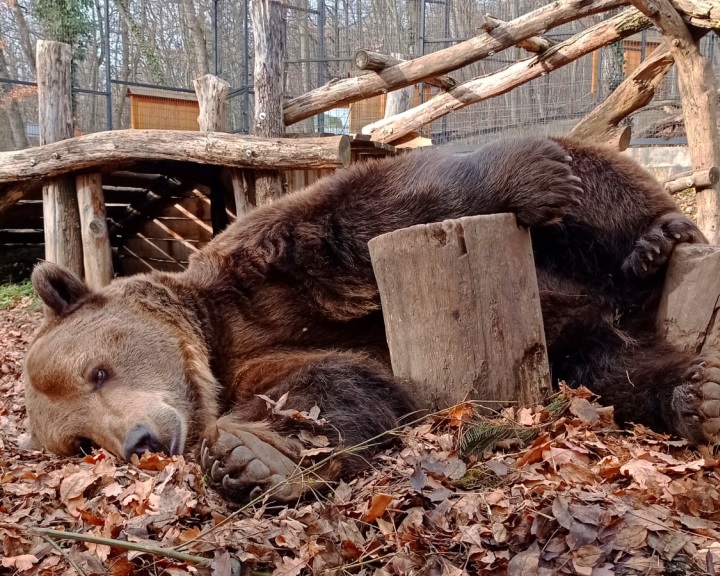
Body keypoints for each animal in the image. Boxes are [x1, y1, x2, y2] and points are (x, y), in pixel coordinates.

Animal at [22, 136, 720, 504]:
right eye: (82, 442)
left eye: (98, 371)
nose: (139, 441)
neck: (216, 336)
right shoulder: (257, 360)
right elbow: (333, 383)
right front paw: (250, 455)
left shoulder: (266, 268)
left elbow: (361, 211)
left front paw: (530, 176)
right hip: (577, 345)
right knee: (616, 368)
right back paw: (697, 394)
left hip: (587, 239)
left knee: (608, 191)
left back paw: (658, 243)